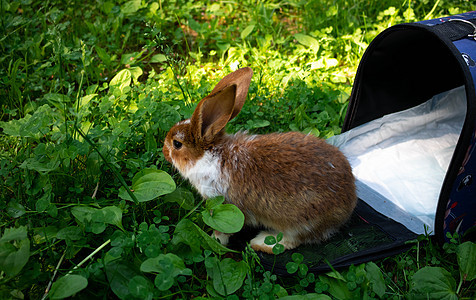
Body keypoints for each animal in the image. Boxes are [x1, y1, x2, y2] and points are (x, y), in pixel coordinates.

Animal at [162, 68, 356, 253]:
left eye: (177, 144)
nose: (164, 152)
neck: (208, 155)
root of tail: (350, 200)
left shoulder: (224, 202)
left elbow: (223, 230)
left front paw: (214, 240)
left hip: (300, 221)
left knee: (294, 240)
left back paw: (260, 242)